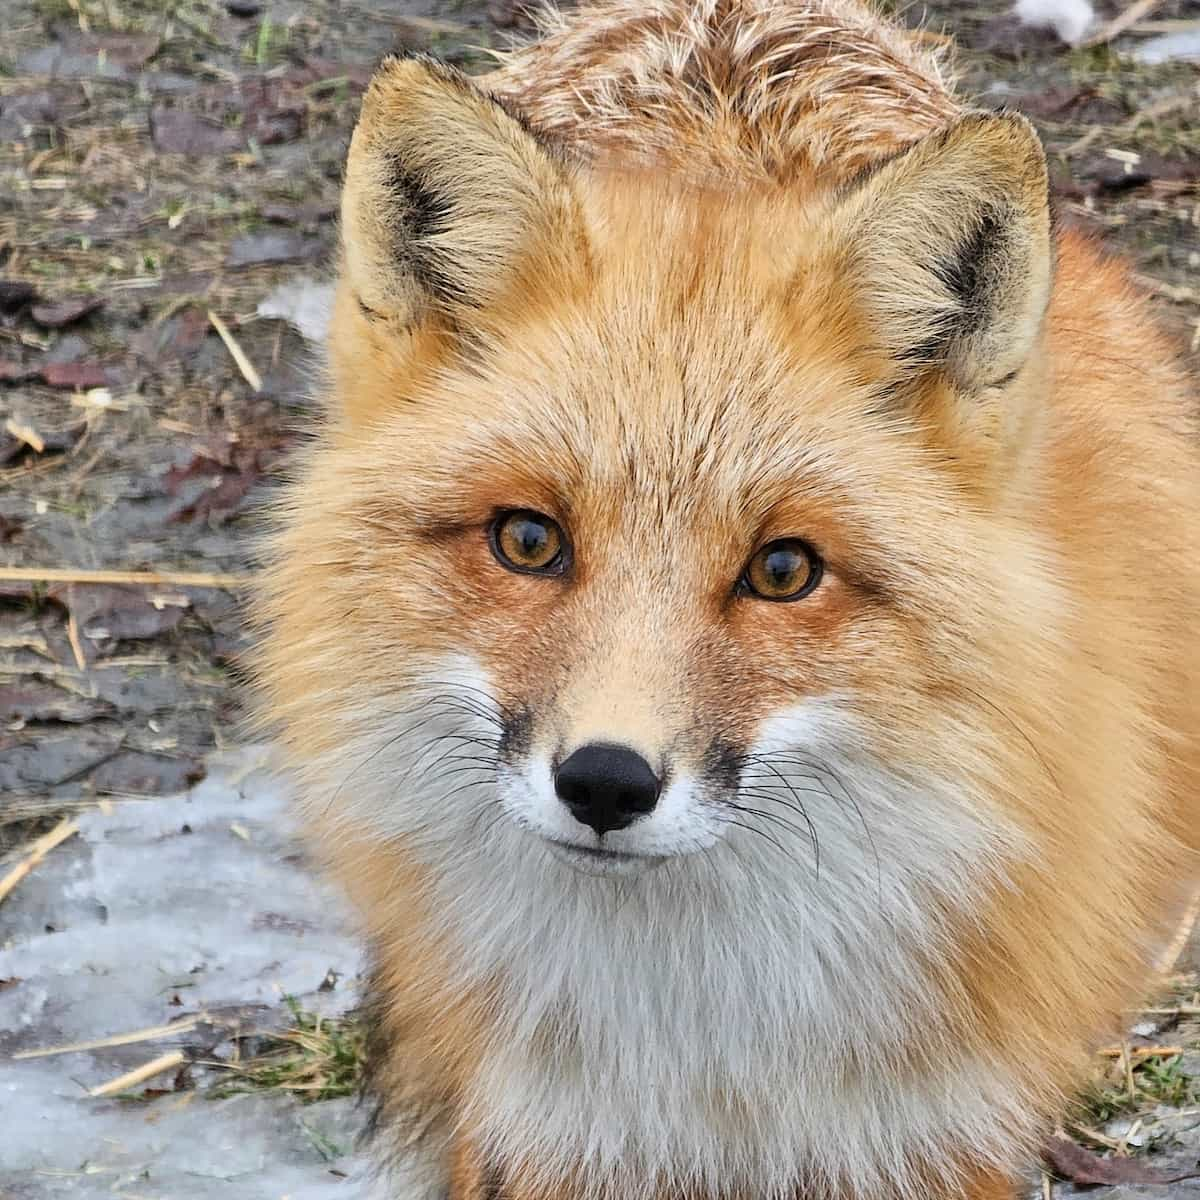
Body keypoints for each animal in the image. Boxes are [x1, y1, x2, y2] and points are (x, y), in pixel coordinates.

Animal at [260, 2, 1200, 1200]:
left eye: (784, 570)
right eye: (529, 540)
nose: (604, 783)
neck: (709, 1051)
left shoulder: (938, 1129)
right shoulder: (546, 1129)